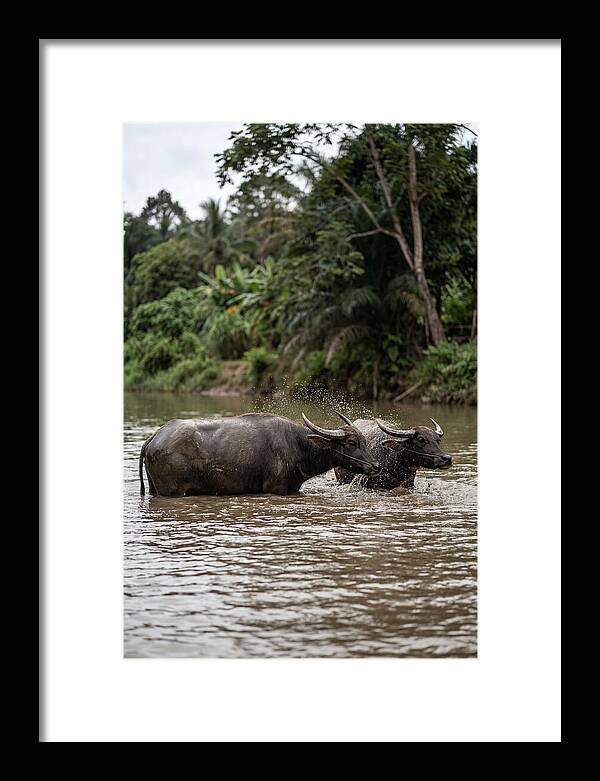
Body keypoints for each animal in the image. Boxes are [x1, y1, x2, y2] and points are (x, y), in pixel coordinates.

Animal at [139, 412, 381, 497]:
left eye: (365, 441)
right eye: (352, 442)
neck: (298, 445)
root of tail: (155, 437)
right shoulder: (276, 488)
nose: (376, 465)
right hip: (172, 491)